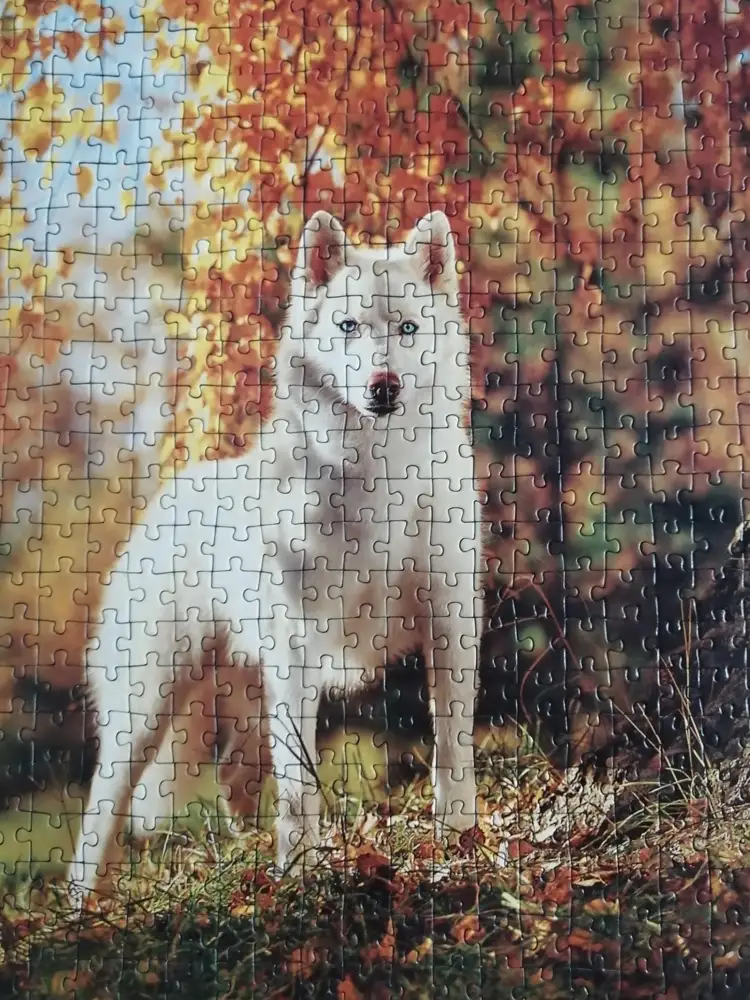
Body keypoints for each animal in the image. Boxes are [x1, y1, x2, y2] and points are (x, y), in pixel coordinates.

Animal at [69, 211, 482, 900]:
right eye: (348, 327)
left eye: (407, 329)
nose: (384, 386)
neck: (377, 477)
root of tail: (164, 498)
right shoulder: (298, 651)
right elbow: (301, 787)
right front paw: (306, 878)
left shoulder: (452, 624)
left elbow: (451, 752)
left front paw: (461, 846)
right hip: (149, 712)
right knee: (97, 821)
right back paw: (84, 912)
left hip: (238, 712)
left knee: (235, 794)